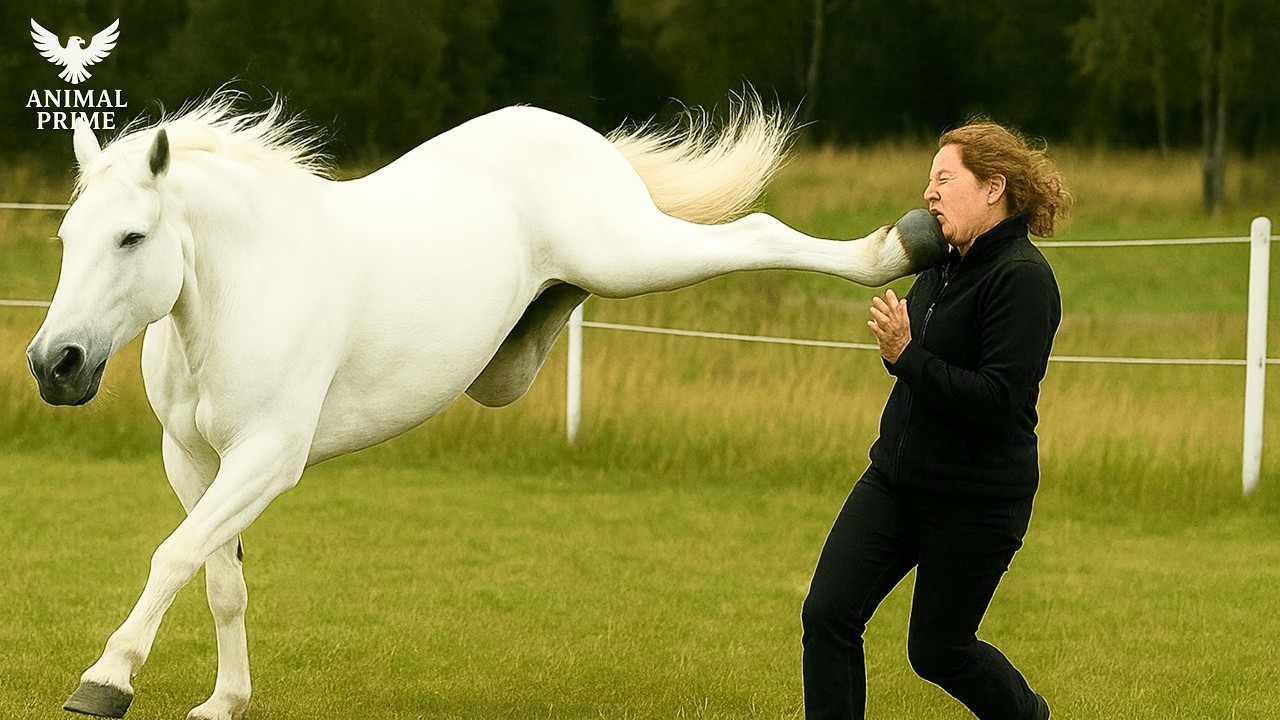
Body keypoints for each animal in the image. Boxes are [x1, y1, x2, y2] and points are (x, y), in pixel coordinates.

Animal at [26, 92, 946, 720]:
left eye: (133, 238)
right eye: (67, 237)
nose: (54, 363)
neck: (239, 286)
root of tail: (579, 137)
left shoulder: (266, 459)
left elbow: (173, 557)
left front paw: (104, 679)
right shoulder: (194, 461)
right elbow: (219, 578)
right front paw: (224, 702)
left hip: (633, 254)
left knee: (755, 234)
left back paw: (900, 246)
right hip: (534, 338)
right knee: (553, 319)